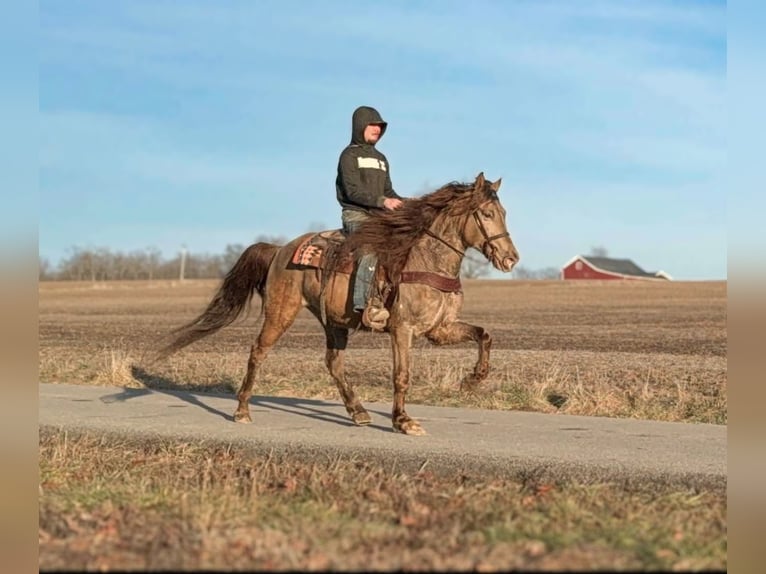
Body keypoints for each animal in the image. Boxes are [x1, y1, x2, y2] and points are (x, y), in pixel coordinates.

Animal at [159, 172, 519, 435]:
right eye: (487, 213)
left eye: (504, 213)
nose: (511, 259)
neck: (427, 260)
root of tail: (279, 250)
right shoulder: (402, 330)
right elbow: (401, 375)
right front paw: (403, 421)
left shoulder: (439, 330)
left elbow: (484, 335)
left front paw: (473, 380)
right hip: (281, 312)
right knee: (258, 351)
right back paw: (242, 410)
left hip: (334, 322)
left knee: (333, 362)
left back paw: (358, 412)